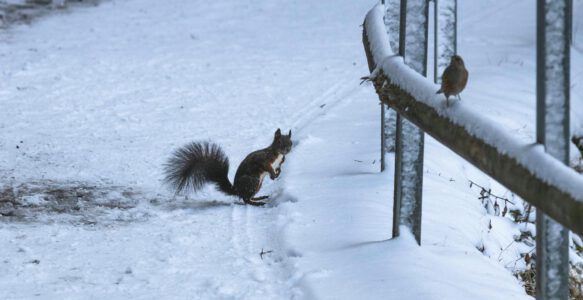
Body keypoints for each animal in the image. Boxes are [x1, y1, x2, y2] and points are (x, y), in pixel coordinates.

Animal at [163, 127, 292, 205]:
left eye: (290, 142)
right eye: (279, 142)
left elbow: (278, 168)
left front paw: (277, 174)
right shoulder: (263, 160)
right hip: (252, 181)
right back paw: (257, 203)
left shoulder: (280, 162)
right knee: (245, 199)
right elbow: (267, 167)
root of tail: (237, 190)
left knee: (247, 197)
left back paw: (258, 198)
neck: (278, 154)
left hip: (257, 184)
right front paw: (273, 174)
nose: (287, 149)